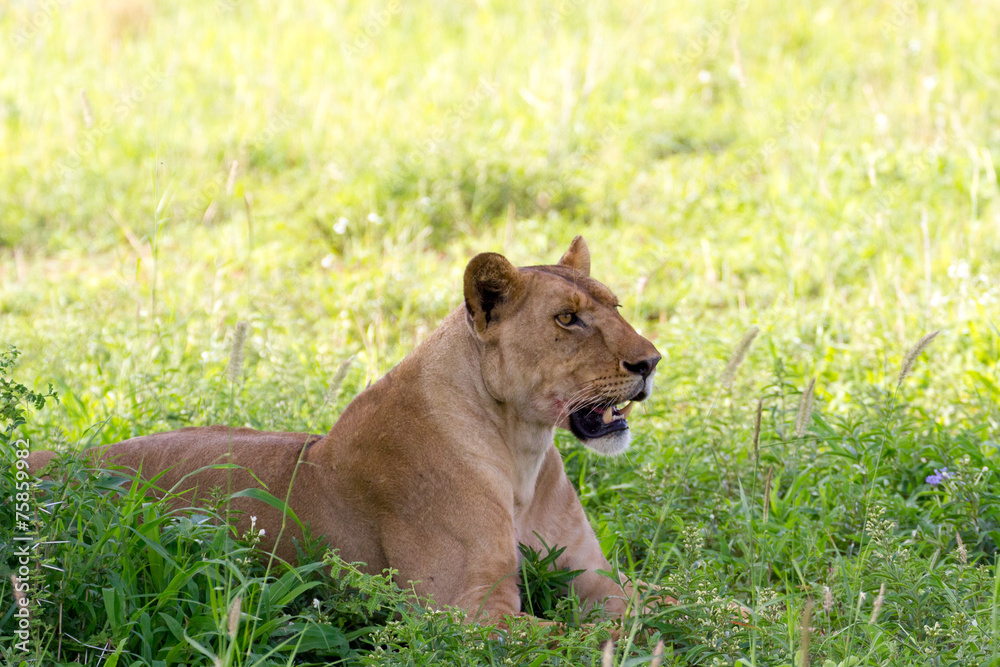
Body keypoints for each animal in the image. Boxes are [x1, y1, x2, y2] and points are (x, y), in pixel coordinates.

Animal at [28, 236, 665, 621]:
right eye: (567, 319)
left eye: (615, 306)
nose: (652, 361)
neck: (522, 452)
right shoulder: (468, 608)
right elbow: (583, 637)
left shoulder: (596, 577)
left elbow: (664, 605)